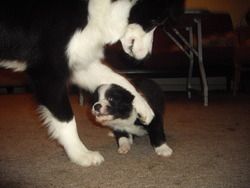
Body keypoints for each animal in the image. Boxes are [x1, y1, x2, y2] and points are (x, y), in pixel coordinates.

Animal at [0, 0, 184, 167]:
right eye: (154, 22)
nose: (147, 57)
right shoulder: (48, 71)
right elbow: (66, 119)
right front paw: (81, 155)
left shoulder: (76, 60)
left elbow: (118, 78)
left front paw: (143, 105)